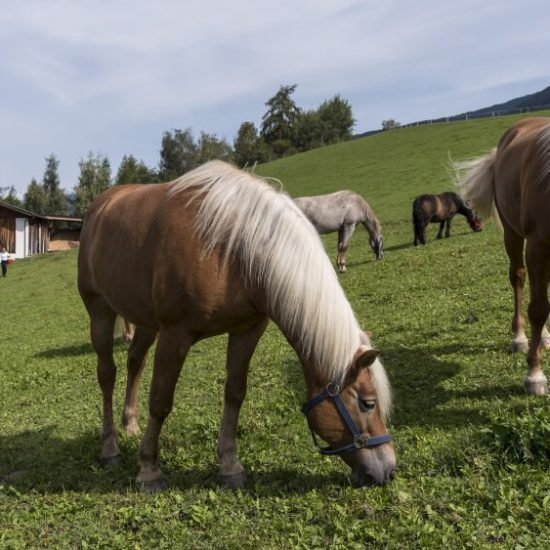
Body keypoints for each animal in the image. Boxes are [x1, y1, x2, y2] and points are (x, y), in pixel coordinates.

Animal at [77, 160, 396, 492]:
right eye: (367, 403)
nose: (388, 469)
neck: (232, 250)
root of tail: (101, 205)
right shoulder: (175, 335)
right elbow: (161, 402)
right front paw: (149, 470)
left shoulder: (247, 330)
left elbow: (235, 393)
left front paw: (230, 466)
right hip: (100, 311)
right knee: (107, 375)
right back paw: (110, 448)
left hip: (146, 321)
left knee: (135, 362)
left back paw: (130, 424)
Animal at [460, 116, 550, 394]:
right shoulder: (537, 245)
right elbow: (538, 308)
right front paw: (534, 374)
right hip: (513, 235)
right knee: (519, 278)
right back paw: (520, 337)